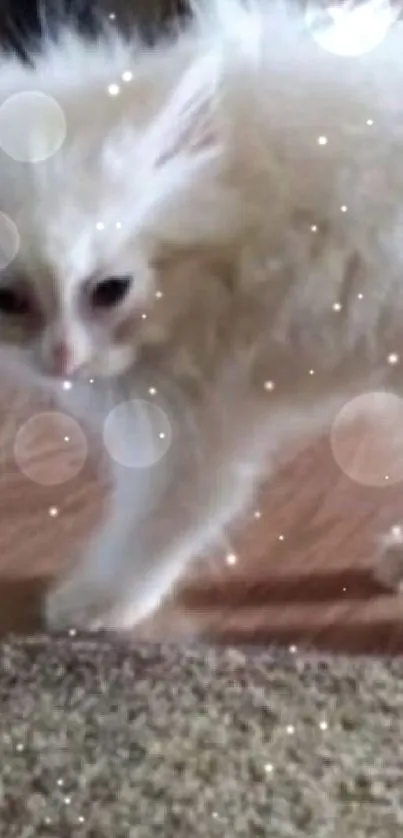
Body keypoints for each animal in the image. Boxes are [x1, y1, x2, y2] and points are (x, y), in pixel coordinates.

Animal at [0, 1, 403, 632]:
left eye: (110, 290)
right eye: (9, 301)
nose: (63, 359)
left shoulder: (200, 430)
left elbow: (156, 530)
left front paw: (99, 604)